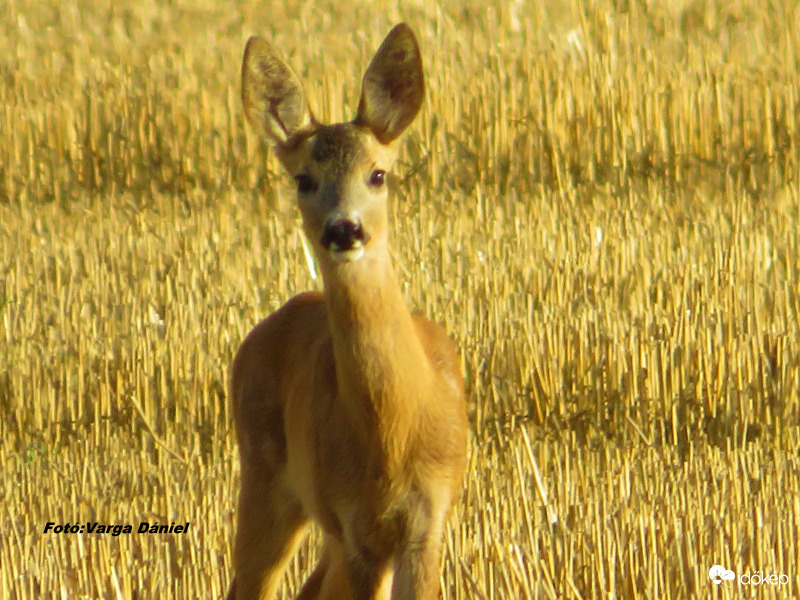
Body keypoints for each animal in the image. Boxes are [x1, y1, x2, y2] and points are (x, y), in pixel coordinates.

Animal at [227, 23, 468, 600]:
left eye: (379, 175)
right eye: (303, 180)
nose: (344, 229)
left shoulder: (427, 518)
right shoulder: (354, 524)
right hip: (265, 477)